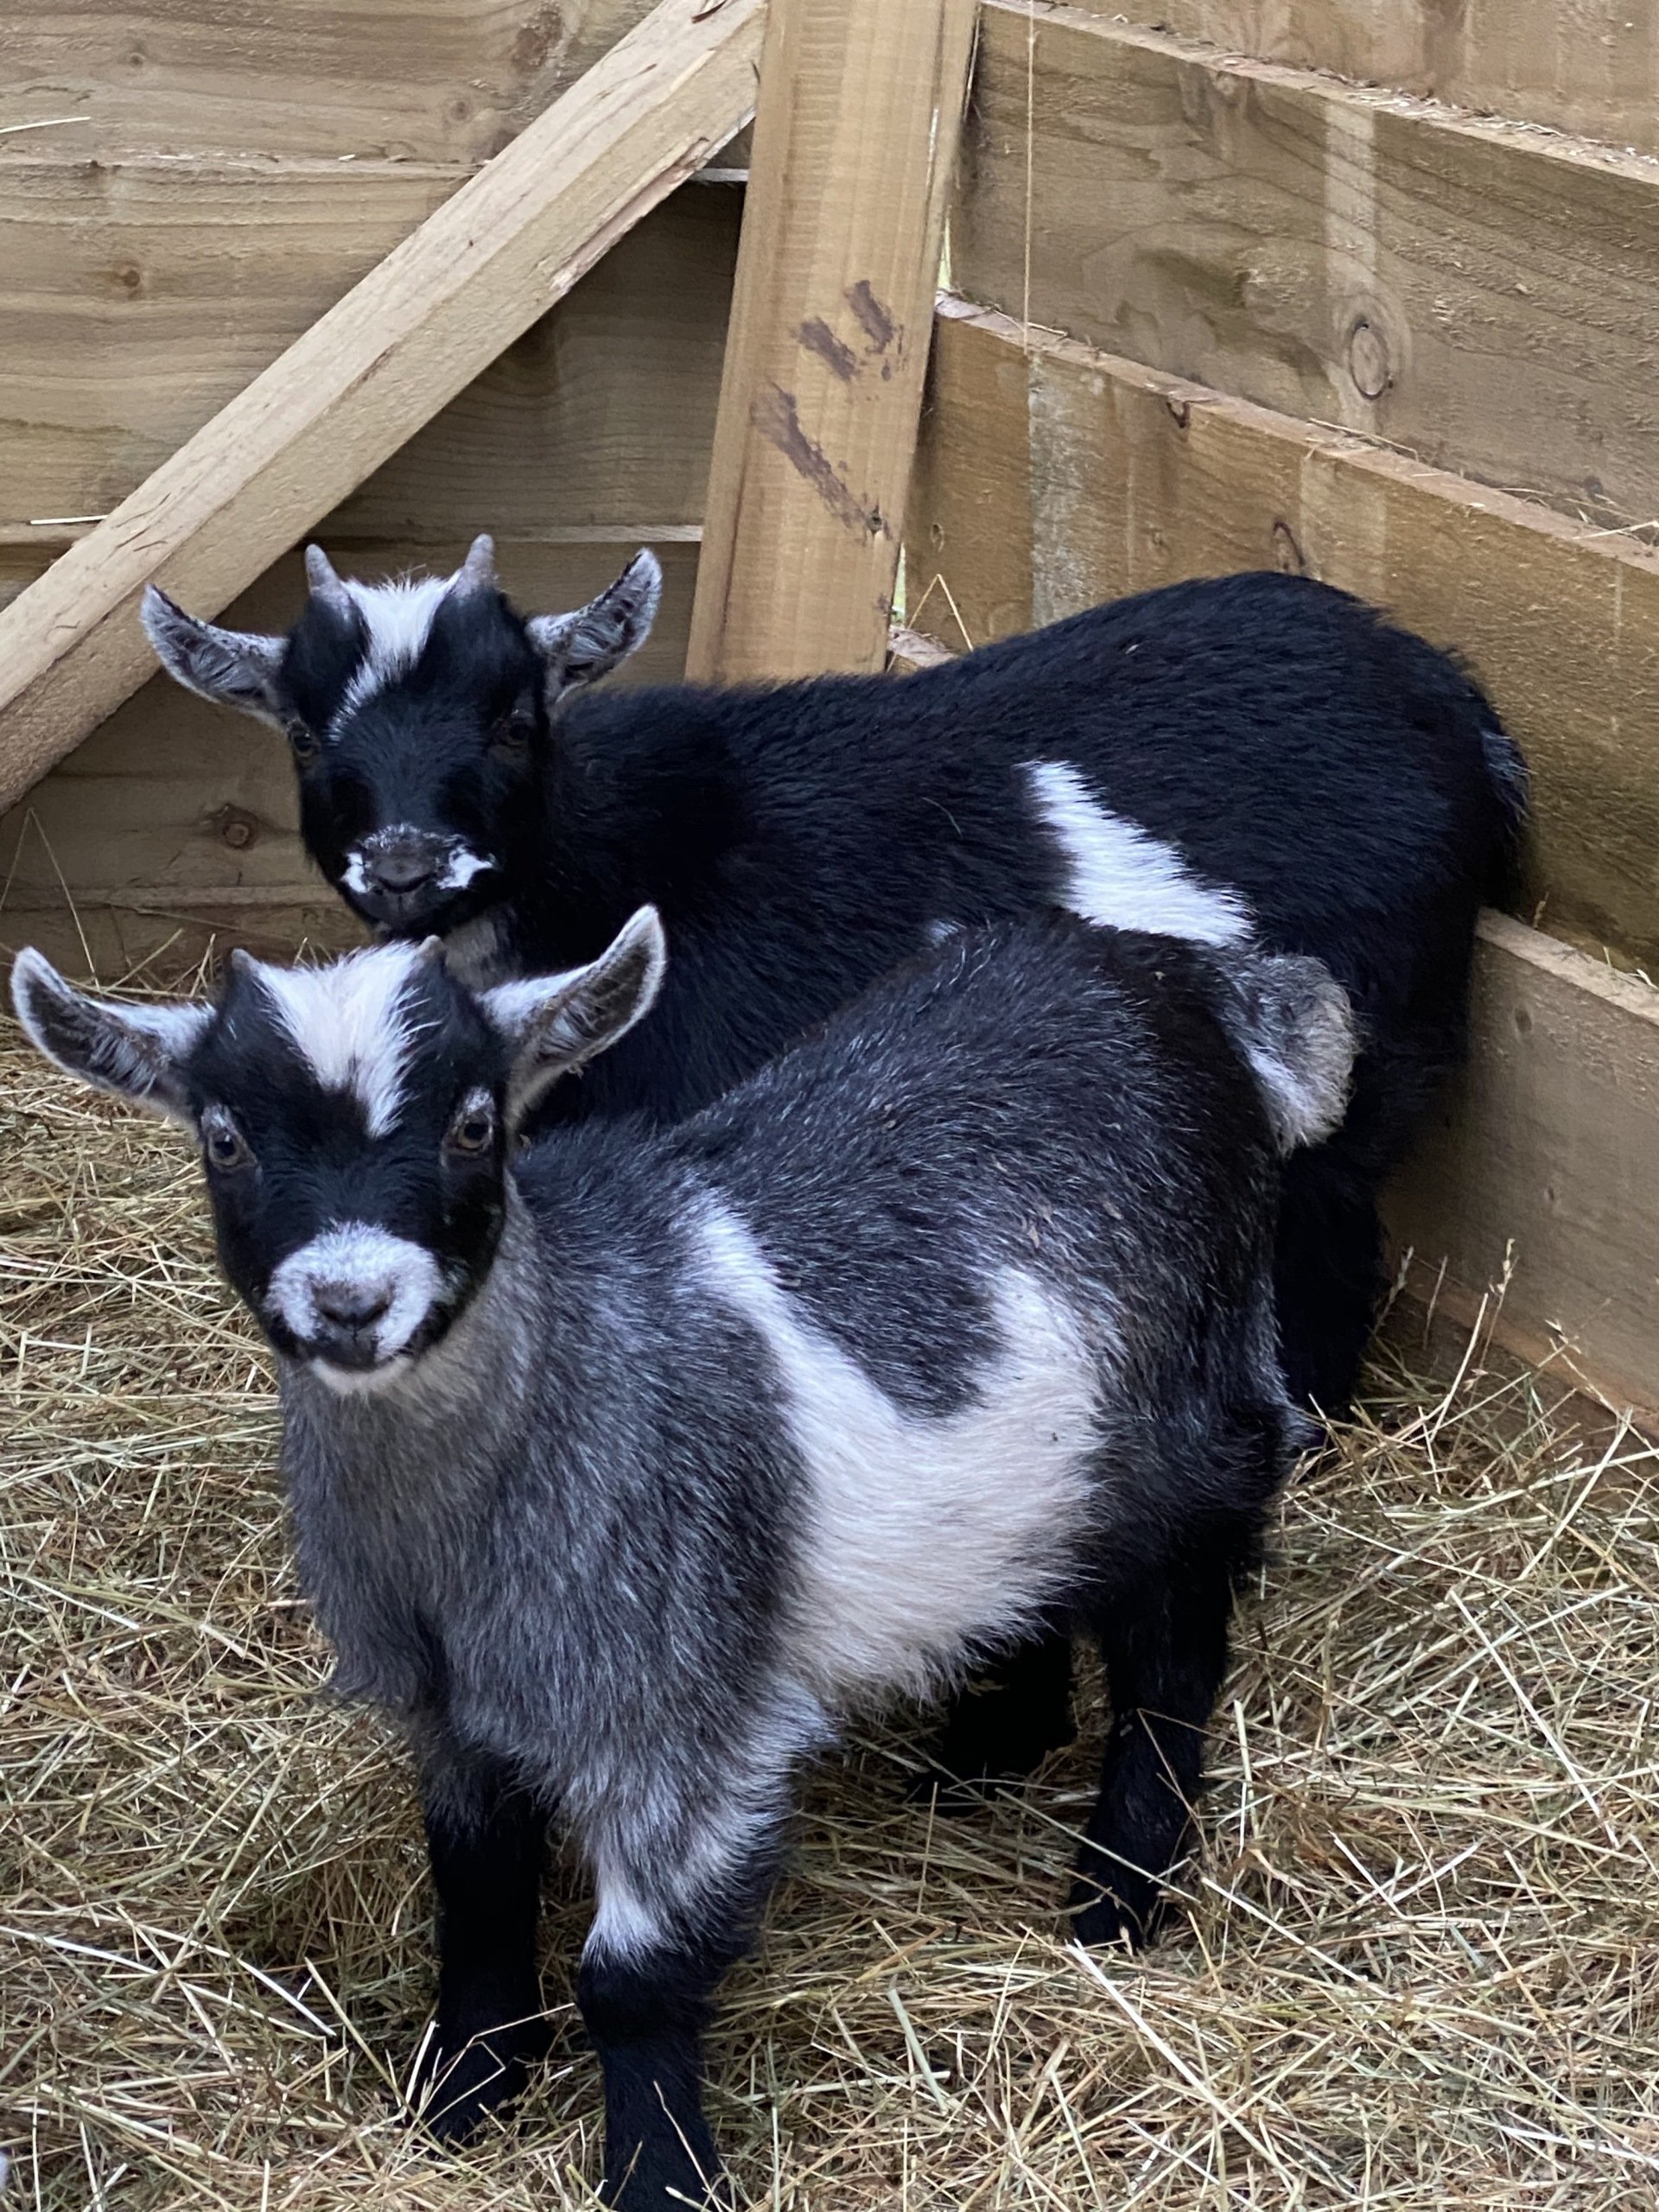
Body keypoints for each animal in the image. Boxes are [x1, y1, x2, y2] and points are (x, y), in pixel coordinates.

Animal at [15, 909, 1353, 2208]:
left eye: (474, 1122)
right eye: (224, 1138)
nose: (352, 1303)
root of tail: (1203, 984)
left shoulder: (680, 1708)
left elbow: (634, 1979)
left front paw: (660, 2176)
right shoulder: (452, 1709)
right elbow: (476, 1890)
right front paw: (461, 2097)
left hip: (1191, 1410)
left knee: (1175, 1646)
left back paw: (1118, 1893)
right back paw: (985, 1753)